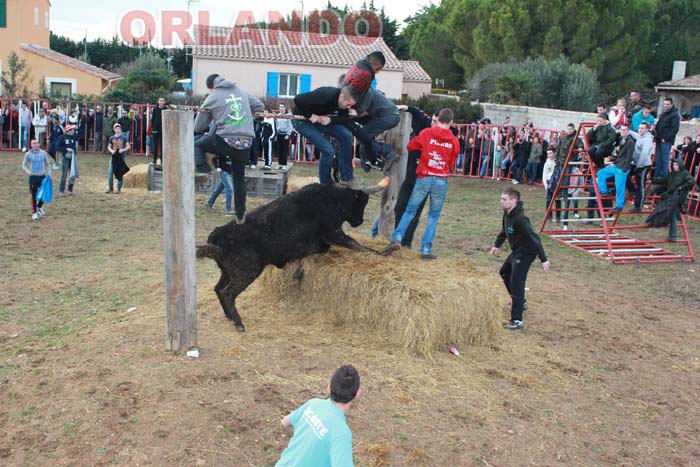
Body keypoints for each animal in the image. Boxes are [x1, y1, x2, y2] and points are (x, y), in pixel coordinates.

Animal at [198, 183, 378, 332]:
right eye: (361, 203)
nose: (360, 221)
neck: (334, 199)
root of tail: (218, 234)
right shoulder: (332, 233)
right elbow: (353, 243)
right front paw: (377, 252)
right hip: (247, 273)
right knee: (227, 293)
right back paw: (239, 323)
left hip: (227, 272)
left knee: (218, 289)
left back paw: (229, 317)